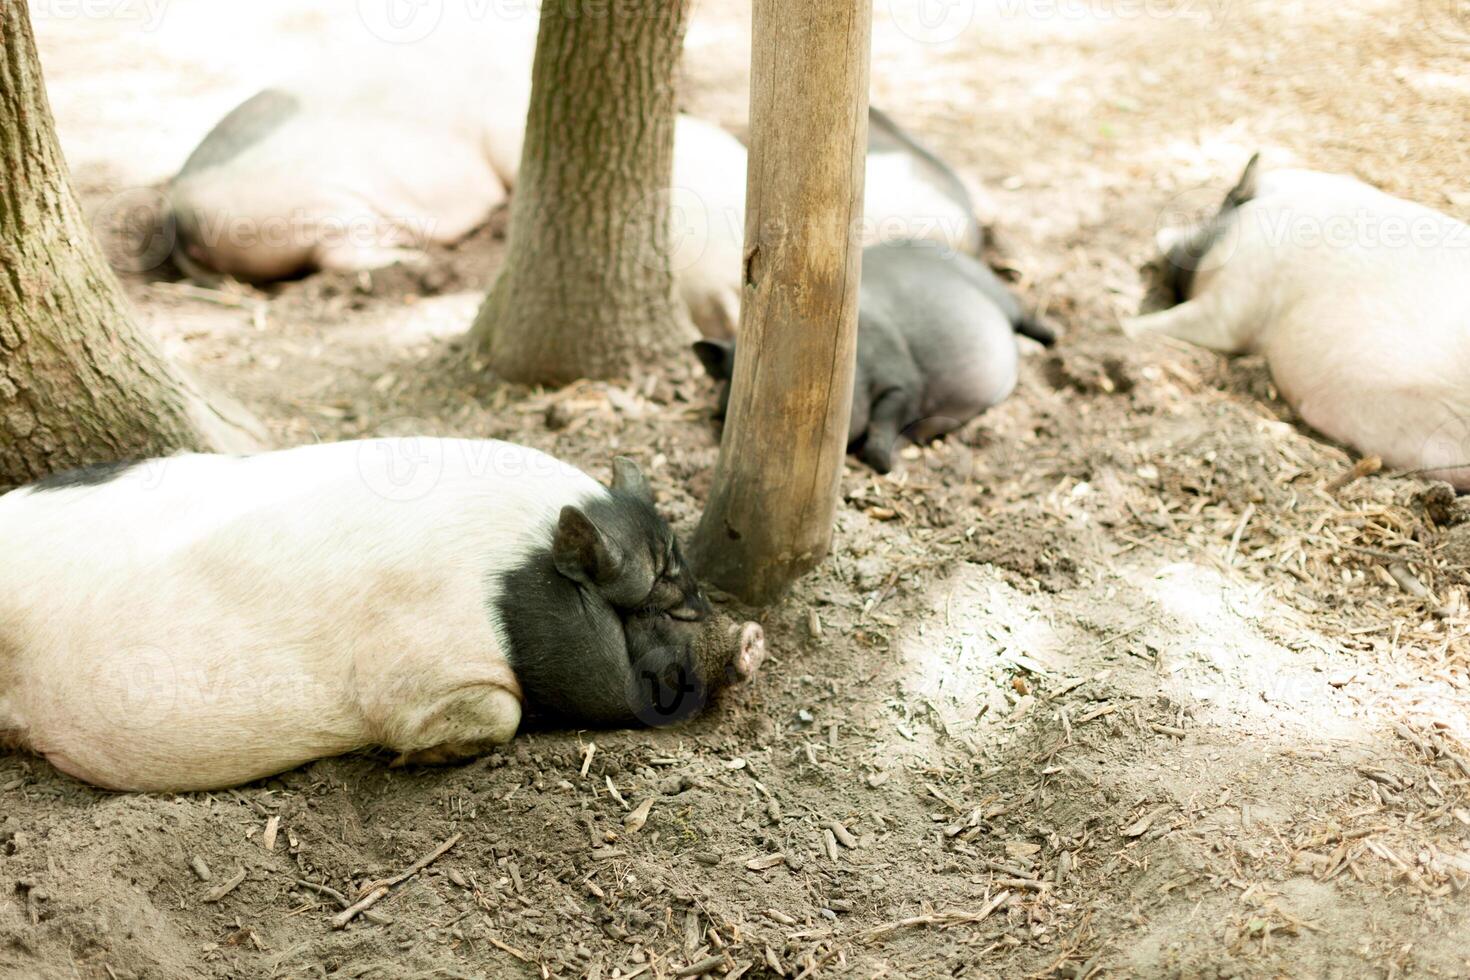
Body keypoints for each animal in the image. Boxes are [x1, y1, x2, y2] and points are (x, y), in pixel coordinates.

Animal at [2, 440, 770, 793]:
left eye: (693, 586)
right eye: (660, 605)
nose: (752, 636)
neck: (513, 590)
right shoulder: (419, 673)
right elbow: (499, 715)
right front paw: (412, 759)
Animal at [693, 239, 1052, 473]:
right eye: (731, 378)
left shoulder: (903, 380)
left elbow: (884, 425)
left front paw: (886, 464)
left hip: (998, 295)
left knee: (1022, 317)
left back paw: (1050, 339)